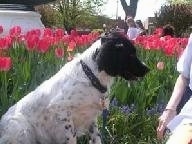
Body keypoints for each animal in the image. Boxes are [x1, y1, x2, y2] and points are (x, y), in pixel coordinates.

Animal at [0, 32, 149, 143]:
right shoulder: (62, 112)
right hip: (21, 128)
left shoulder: (91, 119)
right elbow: (71, 138)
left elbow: (97, 138)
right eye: (131, 54)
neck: (91, 77)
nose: (147, 68)